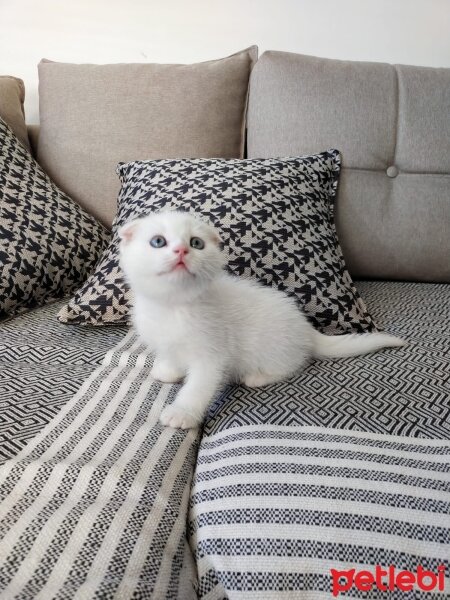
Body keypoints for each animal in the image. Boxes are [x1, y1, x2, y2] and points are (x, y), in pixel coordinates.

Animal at [118, 211, 406, 426]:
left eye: (196, 243)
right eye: (158, 241)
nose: (181, 251)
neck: (172, 307)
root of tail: (306, 328)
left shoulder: (212, 354)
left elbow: (198, 386)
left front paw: (182, 413)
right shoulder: (163, 340)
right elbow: (170, 355)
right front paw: (168, 370)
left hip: (272, 346)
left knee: (293, 364)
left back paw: (258, 377)